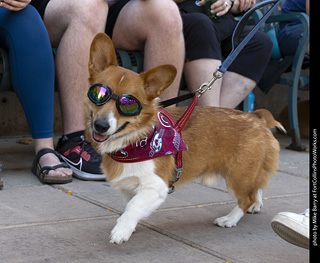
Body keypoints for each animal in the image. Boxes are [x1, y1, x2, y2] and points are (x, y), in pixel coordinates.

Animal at [84, 33, 284, 245]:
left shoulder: (156, 185)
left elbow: (133, 207)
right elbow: (131, 204)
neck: (133, 142)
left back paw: (229, 219)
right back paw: (256, 204)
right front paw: (130, 226)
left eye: (128, 104)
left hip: (237, 174)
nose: (101, 125)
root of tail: (256, 116)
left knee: (245, 198)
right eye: (98, 95)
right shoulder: (130, 187)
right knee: (257, 186)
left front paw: (122, 230)